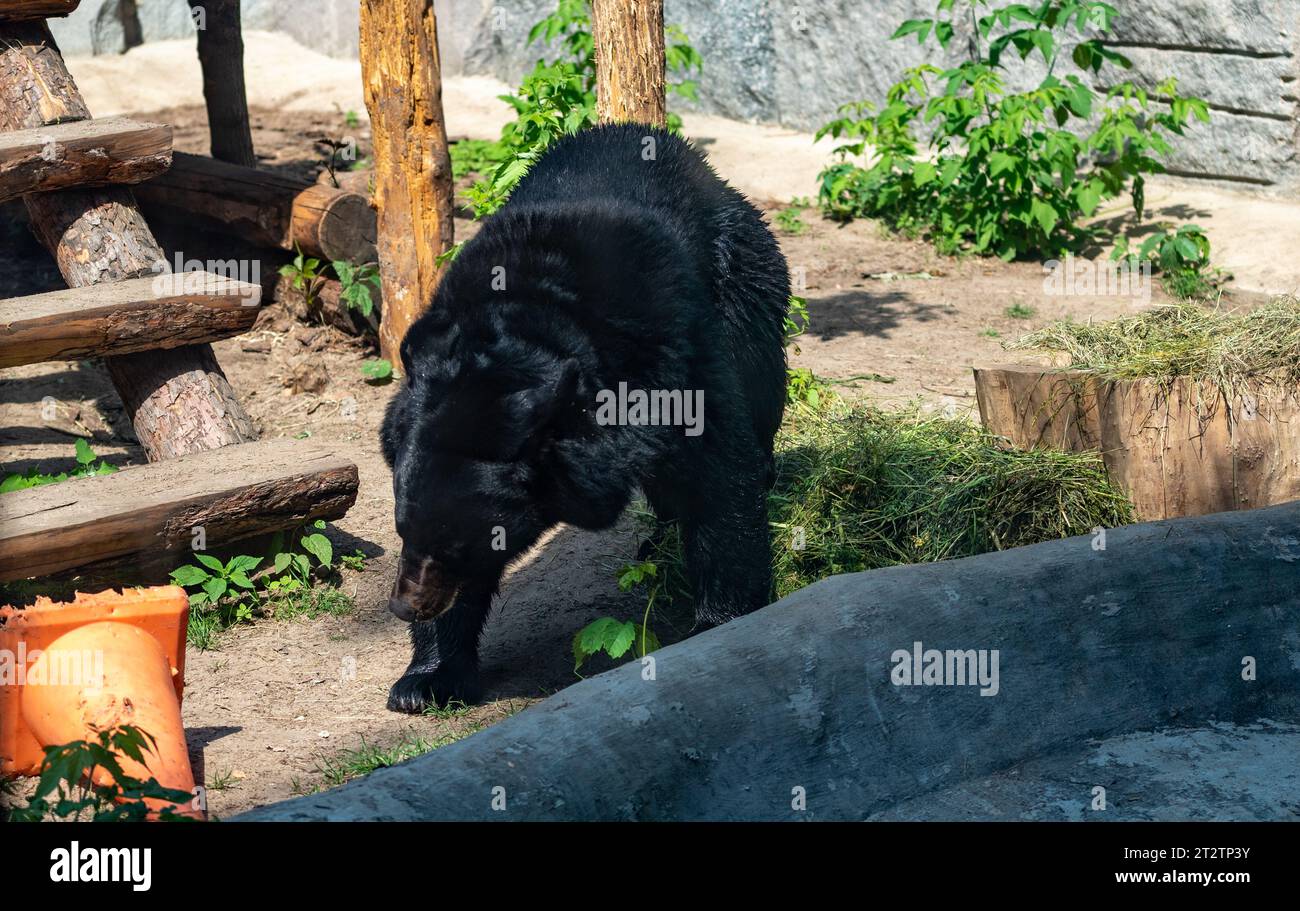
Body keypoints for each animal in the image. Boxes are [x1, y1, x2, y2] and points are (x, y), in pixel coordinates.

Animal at [380, 123, 790, 713]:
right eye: (402, 529)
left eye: (464, 544)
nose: (406, 606)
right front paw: (424, 681)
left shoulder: (669, 354)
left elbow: (719, 473)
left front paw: (719, 620)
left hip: (745, 275)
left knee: (759, 385)